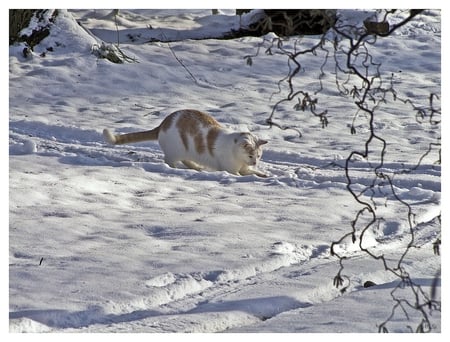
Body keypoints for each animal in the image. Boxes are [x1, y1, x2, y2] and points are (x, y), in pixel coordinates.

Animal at [103, 109, 268, 178]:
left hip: (188, 151)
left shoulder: (245, 168)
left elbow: (252, 172)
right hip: (175, 151)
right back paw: (177, 169)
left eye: (259, 156)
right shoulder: (232, 170)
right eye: (250, 155)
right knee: (171, 161)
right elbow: (241, 174)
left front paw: (263, 174)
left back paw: (196, 168)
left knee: (186, 160)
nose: (254, 162)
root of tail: (163, 123)